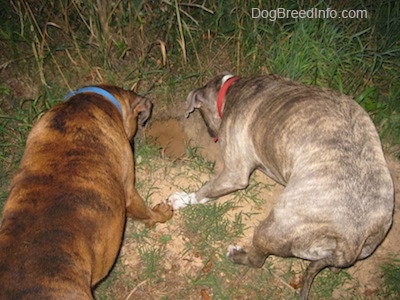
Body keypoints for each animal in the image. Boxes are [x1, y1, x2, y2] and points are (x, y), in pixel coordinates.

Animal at [168, 73, 394, 300]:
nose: (210, 134)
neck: (231, 88)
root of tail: (353, 237)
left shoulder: (234, 173)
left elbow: (205, 190)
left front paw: (183, 199)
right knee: (334, 268)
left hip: (271, 227)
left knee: (257, 261)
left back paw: (236, 255)